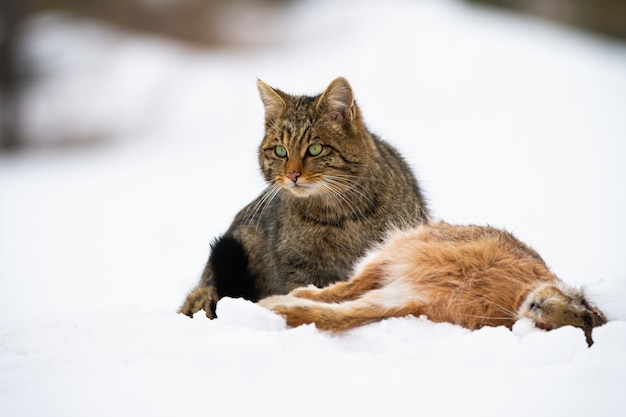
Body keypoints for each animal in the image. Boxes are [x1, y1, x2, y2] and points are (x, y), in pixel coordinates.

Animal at [258, 221, 604, 344]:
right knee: (351, 285)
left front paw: (279, 308)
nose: (540, 308)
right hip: (406, 248)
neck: (517, 296)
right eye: (582, 307)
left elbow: (343, 316)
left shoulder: (410, 298)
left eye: (547, 329)